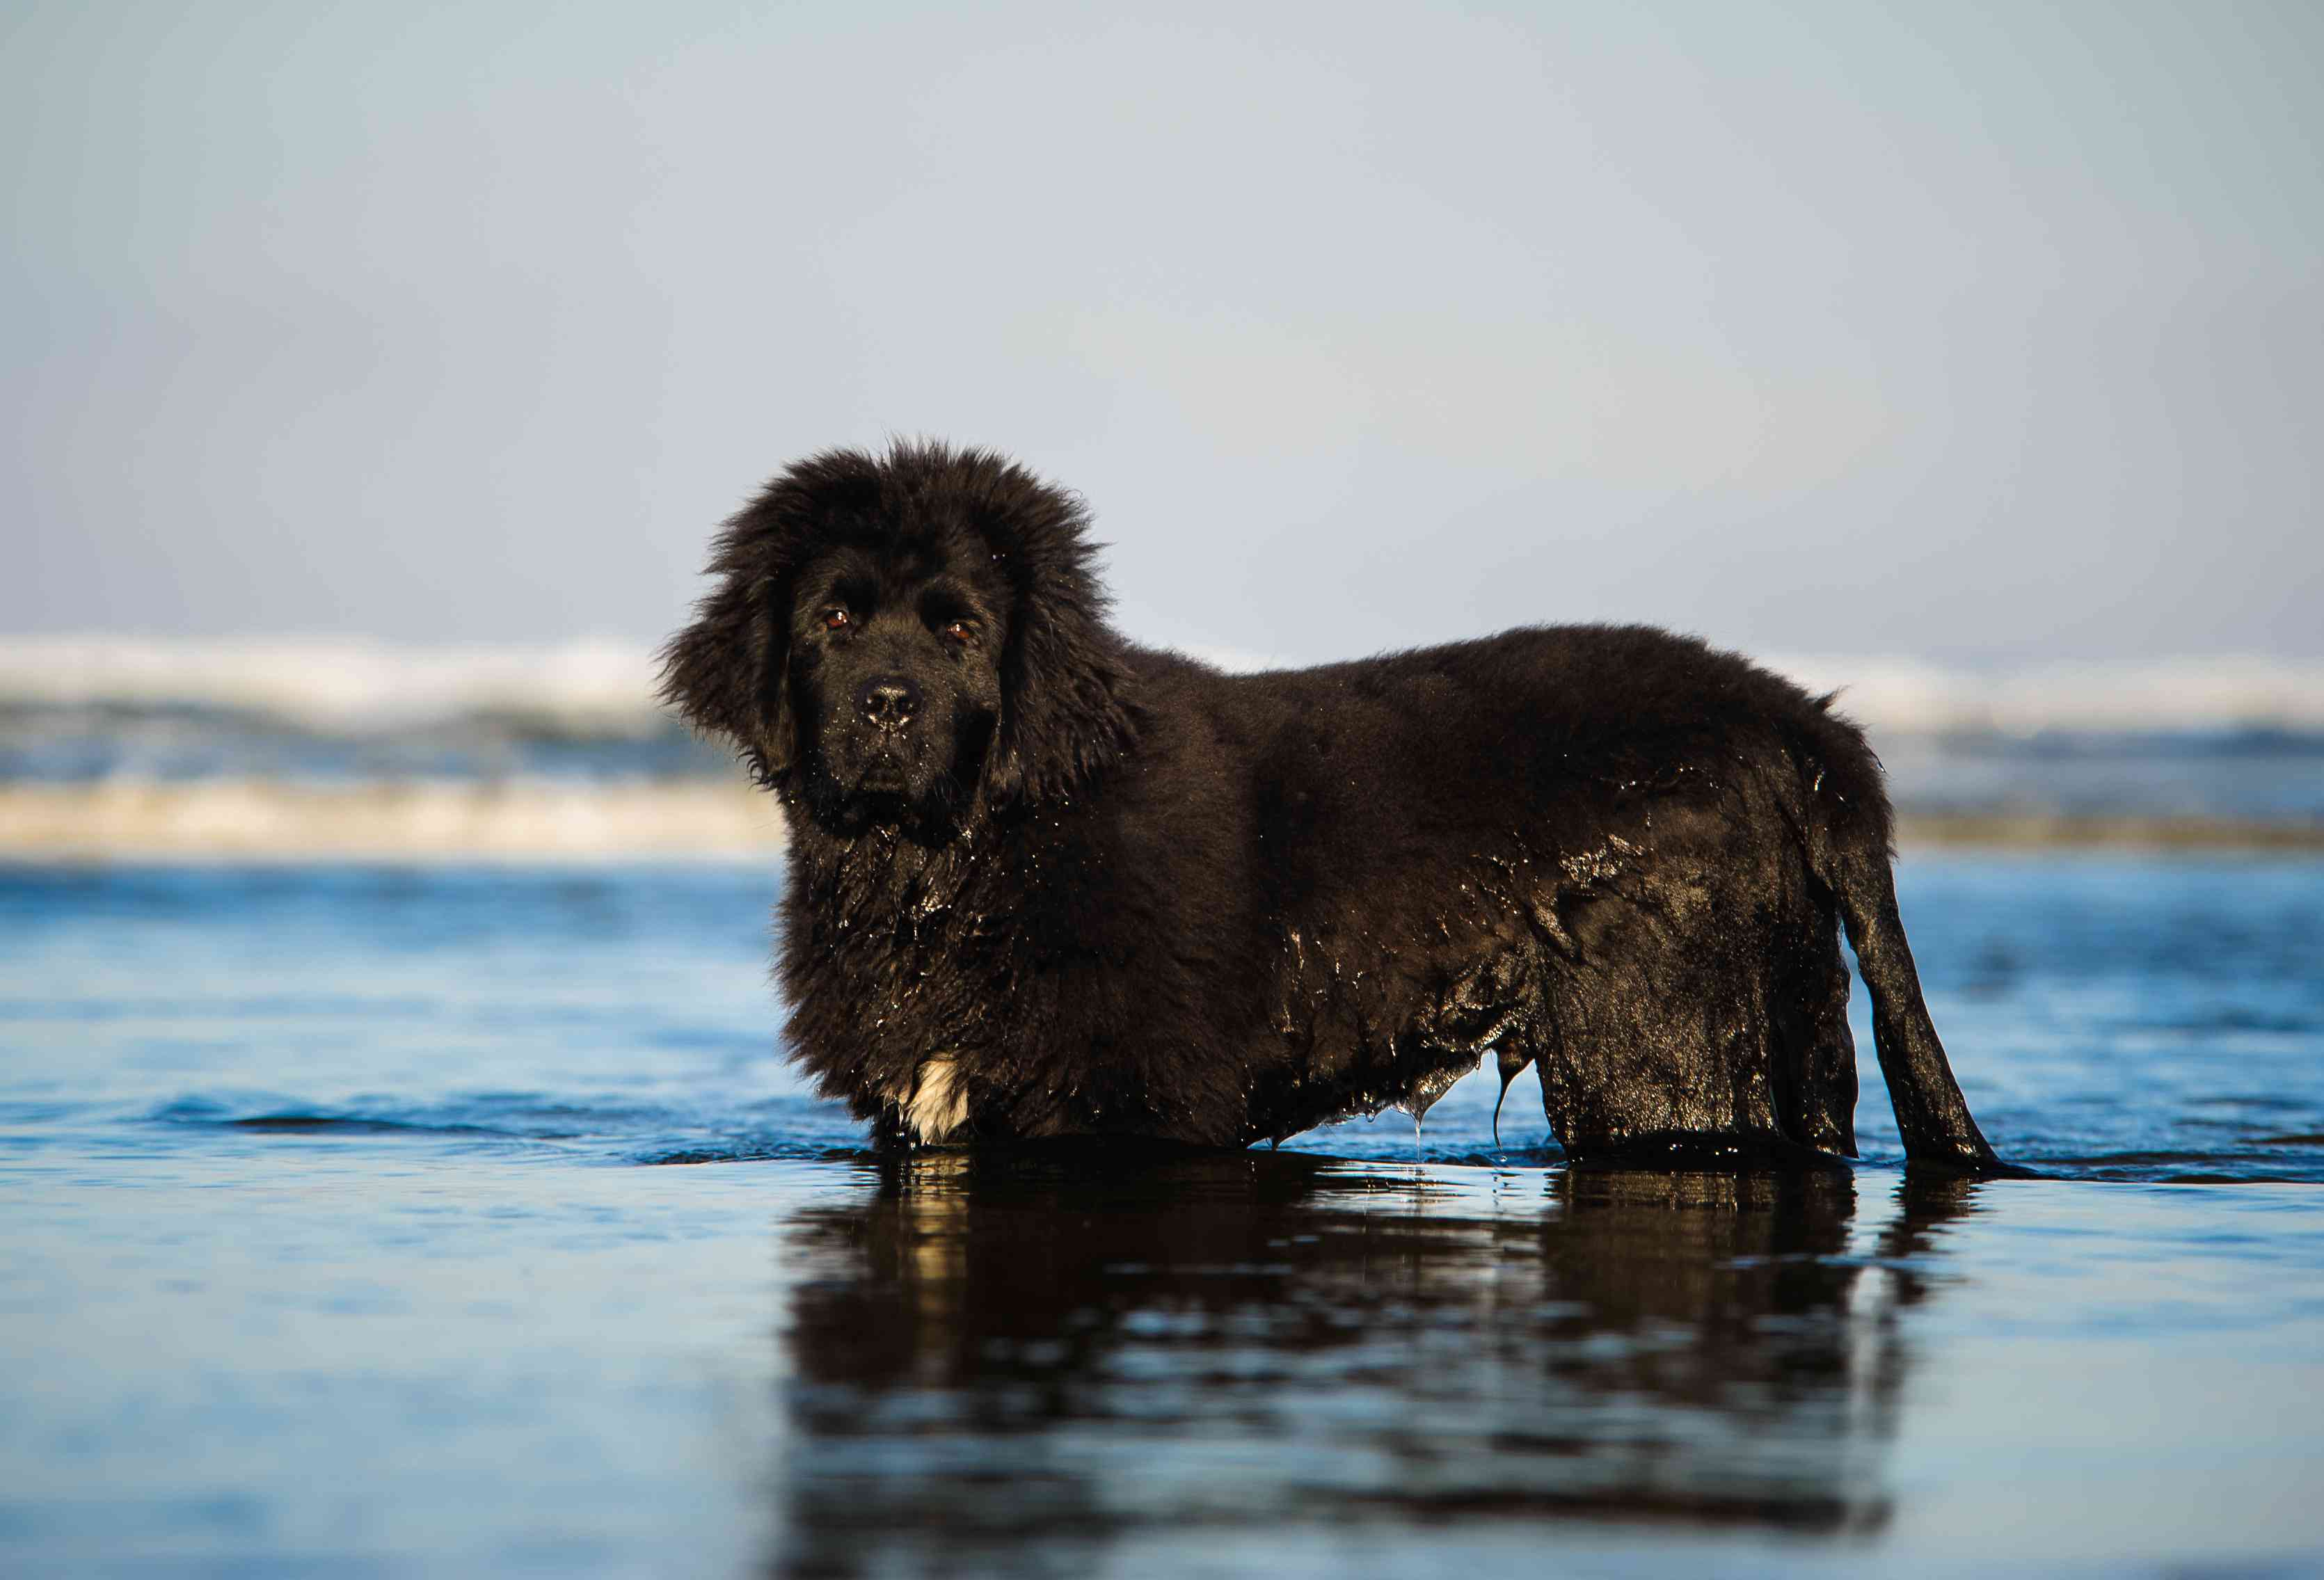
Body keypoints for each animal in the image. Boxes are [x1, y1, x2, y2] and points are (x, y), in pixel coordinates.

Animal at [660, 441, 2017, 1171]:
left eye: (959, 629)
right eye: (837, 616)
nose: (886, 705)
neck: (964, 863)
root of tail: (1811, 728)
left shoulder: (1135, 1103)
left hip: (1669, 1055)